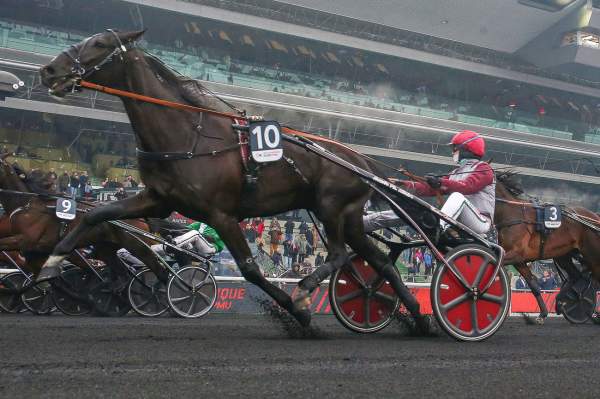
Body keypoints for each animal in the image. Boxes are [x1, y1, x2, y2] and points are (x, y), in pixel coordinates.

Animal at [38, 30, 432, 332]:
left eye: (100, 43)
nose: (49, 70)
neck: (187, 136)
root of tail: (359, 158)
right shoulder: (159, 200)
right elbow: (96, 214)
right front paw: (49, 265)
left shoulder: (221, 215)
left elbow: (250, 269)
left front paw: (297, 310)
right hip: (349, 218)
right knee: (381, 263)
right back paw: (418, 318)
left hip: (331, 208)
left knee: (337, 255)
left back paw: (306, 289)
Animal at [492, 171, 600, 322]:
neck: (512, 213)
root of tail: (595, 217)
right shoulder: (518, 260)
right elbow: (533, 285)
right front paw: (542, 314)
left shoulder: (516, 254)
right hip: (563, 255)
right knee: (575, 276)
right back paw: (562, 303)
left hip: (592, 255)